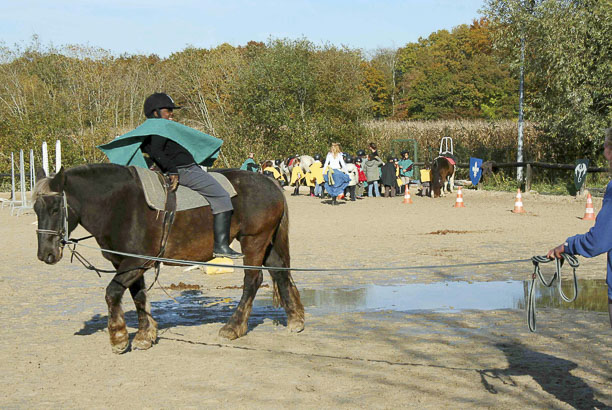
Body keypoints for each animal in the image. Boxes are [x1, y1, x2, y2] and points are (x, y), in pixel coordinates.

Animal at [32, 163, 304, 352]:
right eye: (35, 209)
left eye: (55, 209)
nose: (46, 254)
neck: (119, 205)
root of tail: (268, 181)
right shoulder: (130, 263)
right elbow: (138, 295)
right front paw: (145, 335)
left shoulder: (135, 261)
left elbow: (112, 293)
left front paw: (119, 337)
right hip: (266, 243)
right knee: (279, 272)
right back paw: (295, 319)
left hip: (253, 241)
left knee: (252, 281)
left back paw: (234, 326)